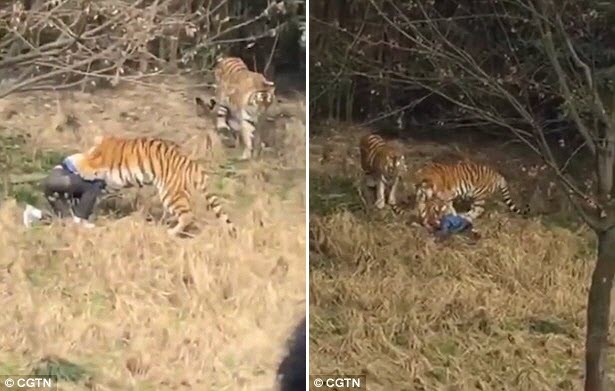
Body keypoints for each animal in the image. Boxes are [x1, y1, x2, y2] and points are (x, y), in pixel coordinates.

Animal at [71, 135, 237, 237]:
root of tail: (194, 165)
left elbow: (85, 164)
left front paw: (75, 163)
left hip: (170, 194)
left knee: (187, 215)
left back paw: (171, 232)